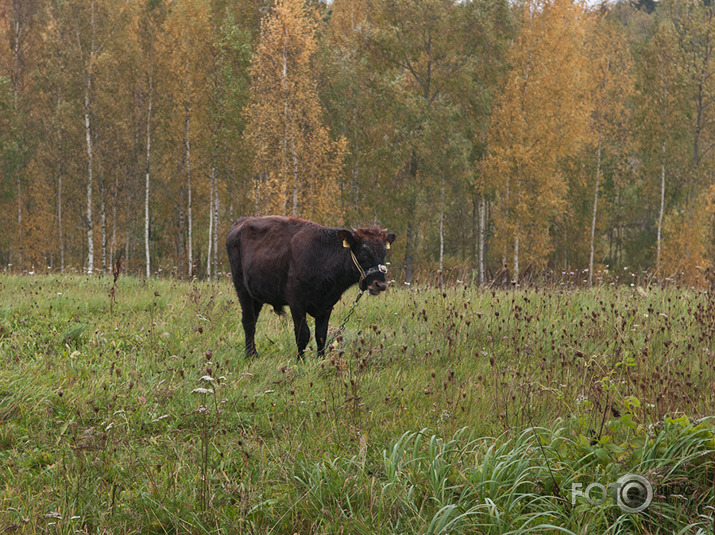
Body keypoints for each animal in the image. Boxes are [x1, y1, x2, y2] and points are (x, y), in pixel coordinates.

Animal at [227, 215, 394, 360]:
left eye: (384, 252)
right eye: (364, 251)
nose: (380, 284)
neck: (324, 257)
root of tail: (241, 222)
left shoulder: (327, 305)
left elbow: (321, 335)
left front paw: (321, 360)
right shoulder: (296, 302)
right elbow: (303, 334)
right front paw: (300, 361)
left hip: (257, 296)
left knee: (253, 321)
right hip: (242, 289)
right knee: (248, 321)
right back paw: (250, 355)